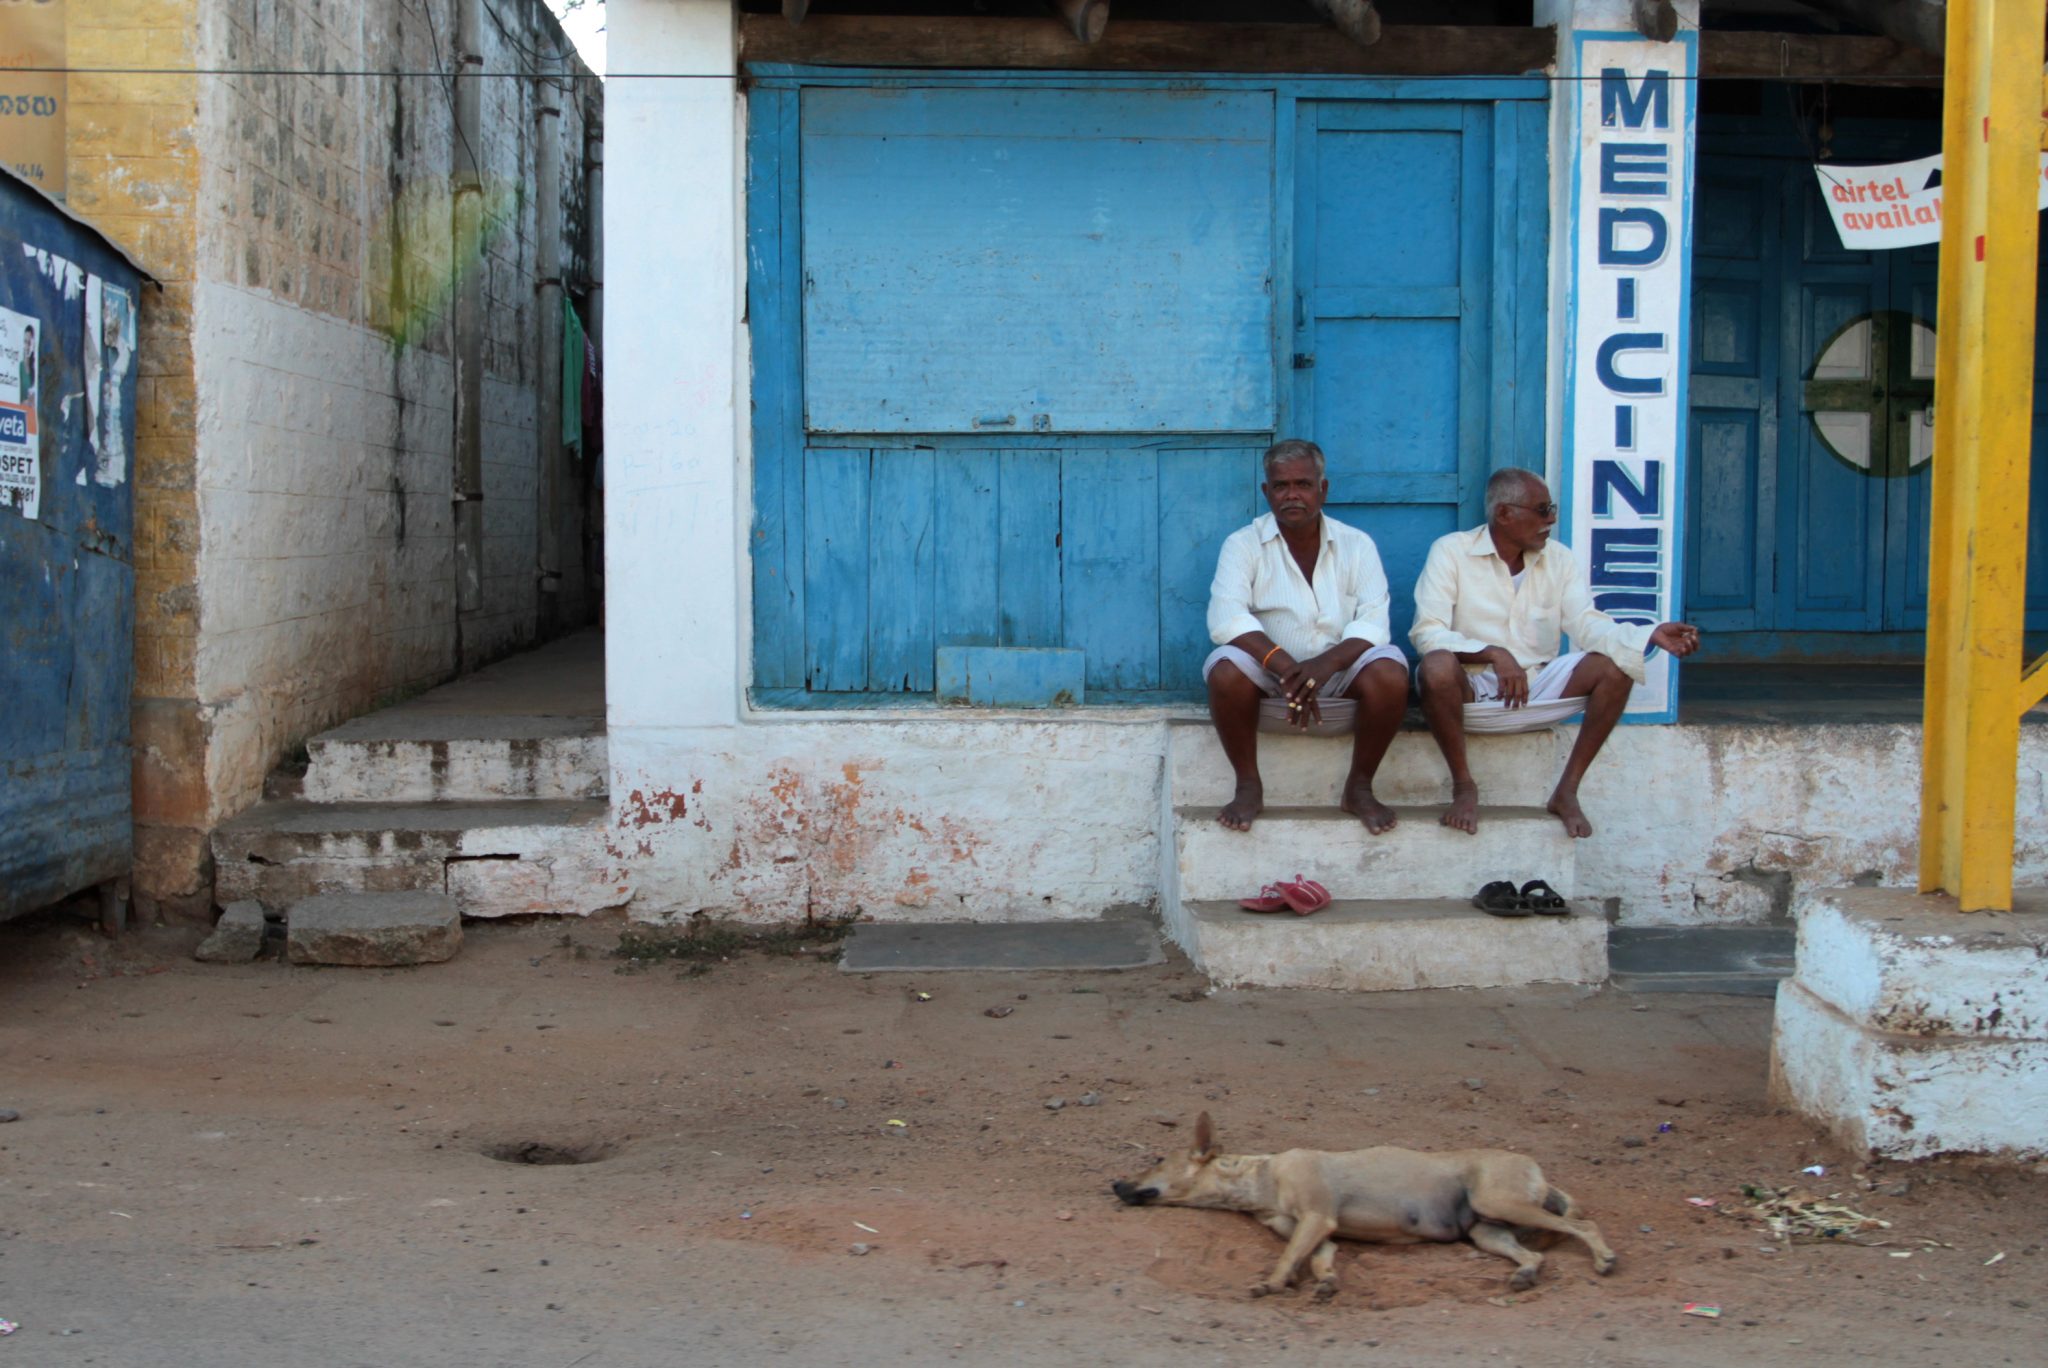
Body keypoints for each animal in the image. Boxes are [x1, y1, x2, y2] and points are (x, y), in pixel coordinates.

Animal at [1111, 1112, 1617, 1301]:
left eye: (1156, 1160)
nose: (1115, 1183)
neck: (1260, 1179)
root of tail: (1536, 1170)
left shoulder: (1317, 1216)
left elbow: (1287, 1256)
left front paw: (1273, 1283)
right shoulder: (1319, 1231)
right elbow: (1317, 1259)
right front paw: (1324, 1281)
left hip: (1500, 1199)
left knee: (1587, 1225)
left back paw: (1603, 1258)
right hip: (1486, 1231)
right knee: (1533, 1254)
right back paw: (1526, 1273)